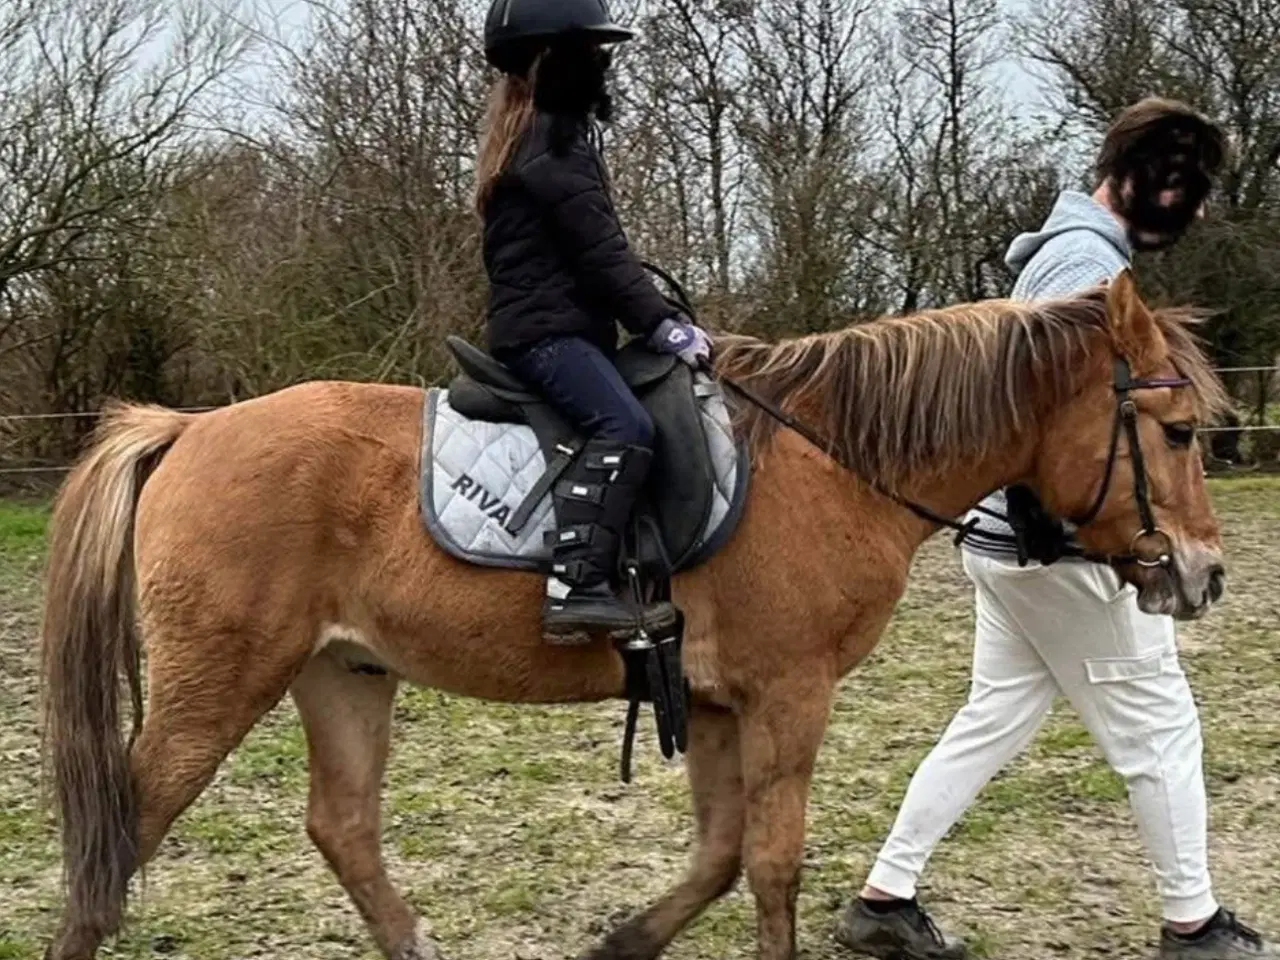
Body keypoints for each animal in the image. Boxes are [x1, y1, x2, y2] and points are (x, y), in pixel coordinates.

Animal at [37, 269, 1230, 960]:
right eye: (1174, 433)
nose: (1204, 574)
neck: (826, 463)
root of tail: (189, 428)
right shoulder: (787, 695)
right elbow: (771, 862)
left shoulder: (714, 701)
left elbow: (719, 854)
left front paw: (620, 943)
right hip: (218, 684)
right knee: (116, 847)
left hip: (342, 674)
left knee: (342, 828)